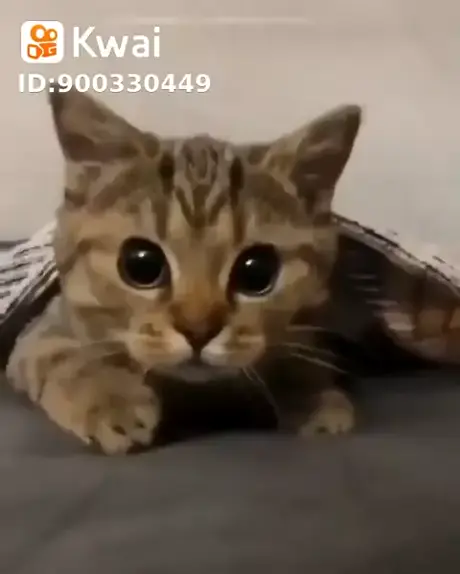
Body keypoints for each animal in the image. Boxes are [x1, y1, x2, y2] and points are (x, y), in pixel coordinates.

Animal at [6, 87, 362, 454]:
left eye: (257, 273)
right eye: (141, 264)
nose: (198, 330)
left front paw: (316, 399)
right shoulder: (42, 333)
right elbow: (72, 358)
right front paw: (112, 399)